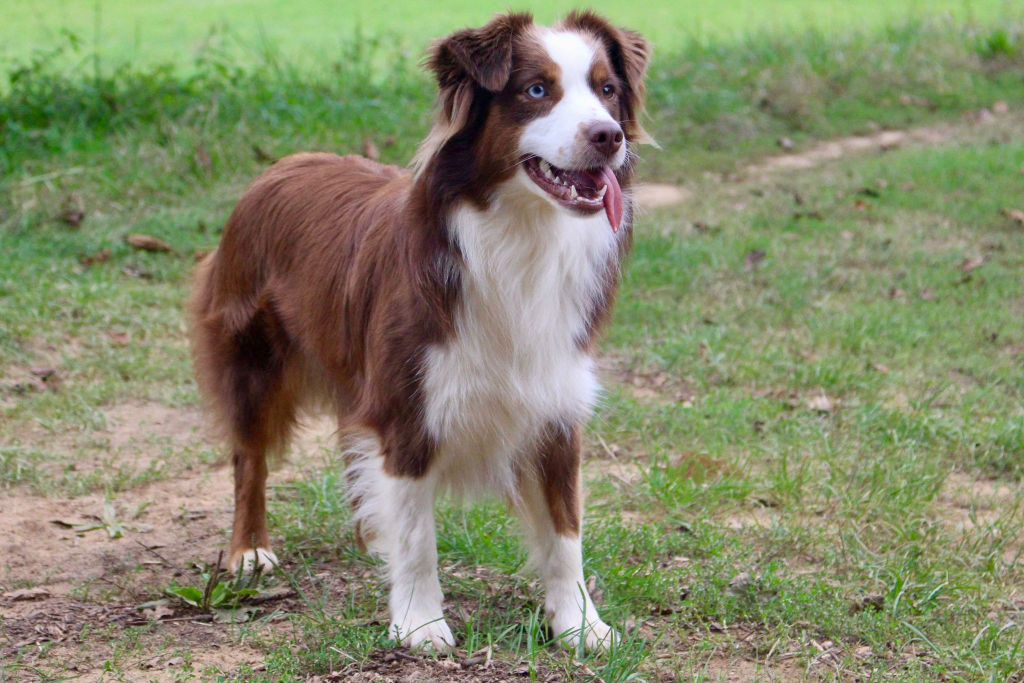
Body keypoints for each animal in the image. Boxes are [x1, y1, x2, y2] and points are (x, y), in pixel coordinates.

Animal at [193, 9, 647, 651]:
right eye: (536, 91)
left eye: (607, 91)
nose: (608, 136)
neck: (521, 238)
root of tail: (280, 164)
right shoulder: (408, 404)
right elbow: (416, 534)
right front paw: (420, 624)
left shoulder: (555, 401)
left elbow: (565, 533)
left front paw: (581, 625)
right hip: (251, 352)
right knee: (248, 456)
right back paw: (250, 551)